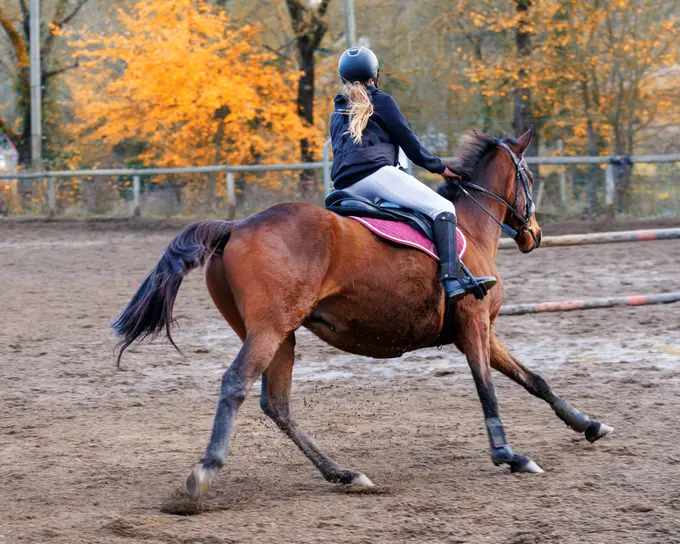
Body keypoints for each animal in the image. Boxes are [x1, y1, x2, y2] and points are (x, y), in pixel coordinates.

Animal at [113, 127, 612, 505]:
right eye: (528, 175)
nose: (534, 234)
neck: (470, 225)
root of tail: (235, 226)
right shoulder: (472, 326)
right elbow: (487, 389)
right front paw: (509, 454)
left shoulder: (485, 332)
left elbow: (535, 380)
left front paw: (588, 424)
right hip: (270, 330)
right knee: (237, 385)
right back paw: (205, 472)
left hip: (280, 334)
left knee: (277, 404)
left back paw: (344, 474)